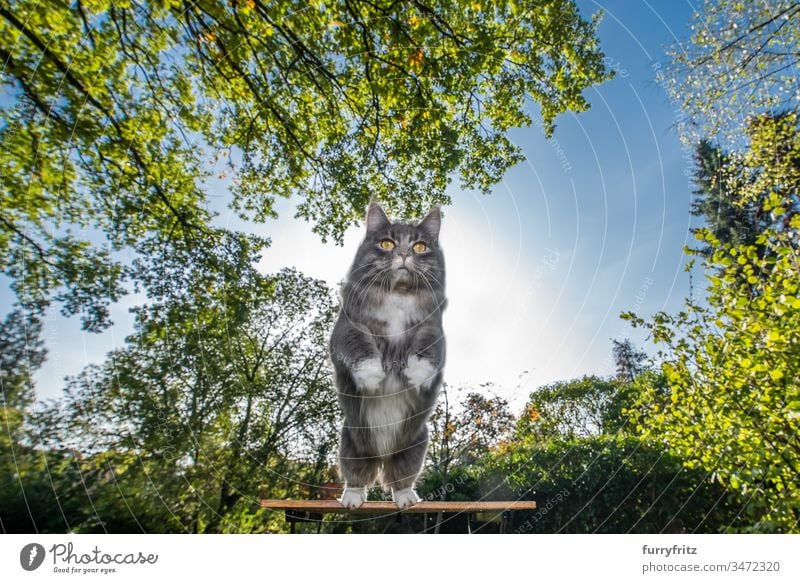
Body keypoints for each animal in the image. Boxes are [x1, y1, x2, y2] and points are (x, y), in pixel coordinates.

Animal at [328, 203, 446, 508]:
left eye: (419, 246)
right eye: (387, 244)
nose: (403, 253)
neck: (398, 295)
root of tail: (381, 456)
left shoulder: (431, 329)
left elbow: (427, 352)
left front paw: (415, 377)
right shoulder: (350, 326)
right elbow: (360, 348)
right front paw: (373, 377)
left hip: (413, 448)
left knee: (400, 479)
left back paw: (406, 500)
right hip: (352, 444)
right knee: (357, 477)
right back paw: (352, 500)